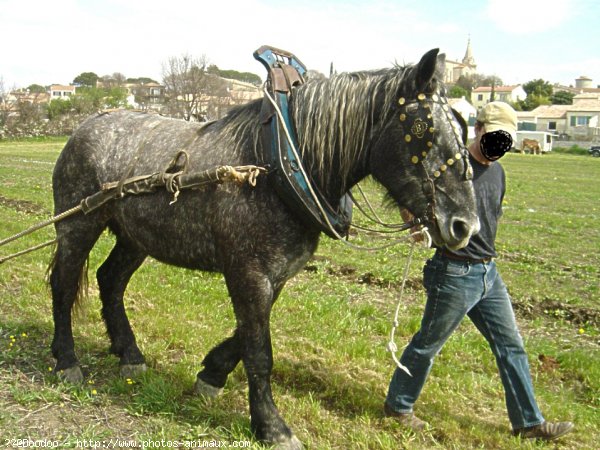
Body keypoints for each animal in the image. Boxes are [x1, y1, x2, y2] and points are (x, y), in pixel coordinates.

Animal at [48, 47, 478, 448]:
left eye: (462, 127)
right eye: (422, 127)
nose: (465, 226)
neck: (275, 166)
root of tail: (87, 123)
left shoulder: (276, 274)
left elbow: (246, 334)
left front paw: (211, 373)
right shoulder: (249, 272)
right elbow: (259, 350)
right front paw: (272, 426)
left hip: (136, 236)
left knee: (110, 280)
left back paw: (129, 354)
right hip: (78, 224)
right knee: (64, 284)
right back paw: (67, 361)